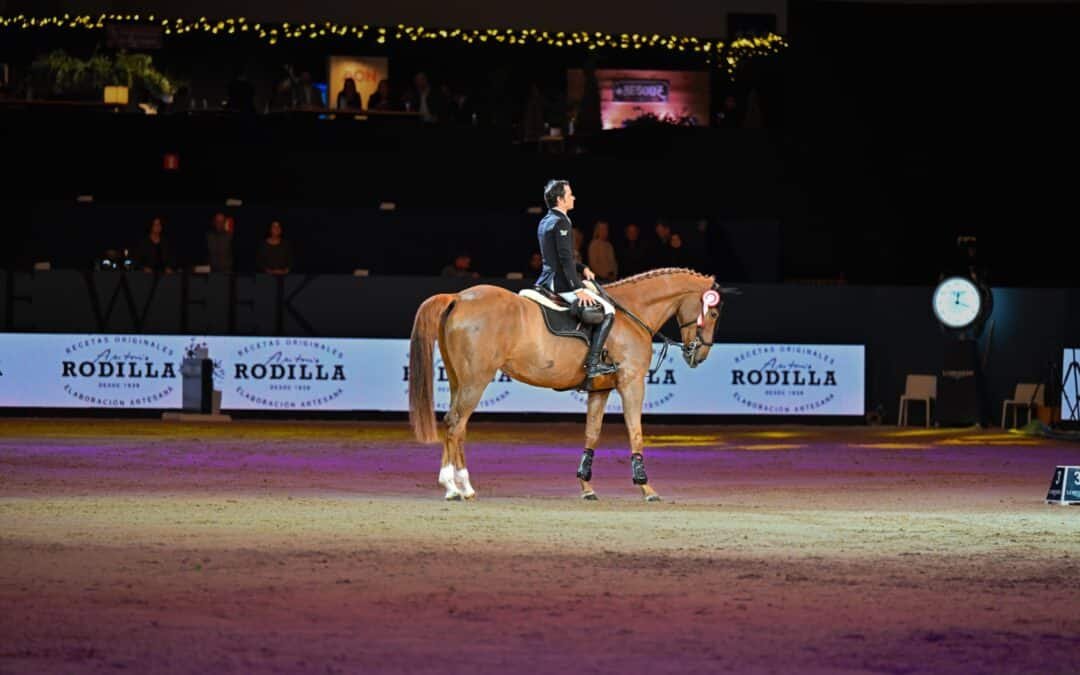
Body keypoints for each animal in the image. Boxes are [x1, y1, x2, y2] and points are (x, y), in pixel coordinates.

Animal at [408, 267, 724, 501]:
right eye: (713, 313)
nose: (699, 354)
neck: (631, 315)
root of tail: (459, 297)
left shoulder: (600, 390)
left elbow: (592, 434)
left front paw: (586, 487)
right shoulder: (632, 383)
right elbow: (635, 432)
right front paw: (646, 487)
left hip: (458, 380)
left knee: (456, 425)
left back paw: (458, 486)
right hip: (476, 380)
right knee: (456, 423)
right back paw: (456, 487)